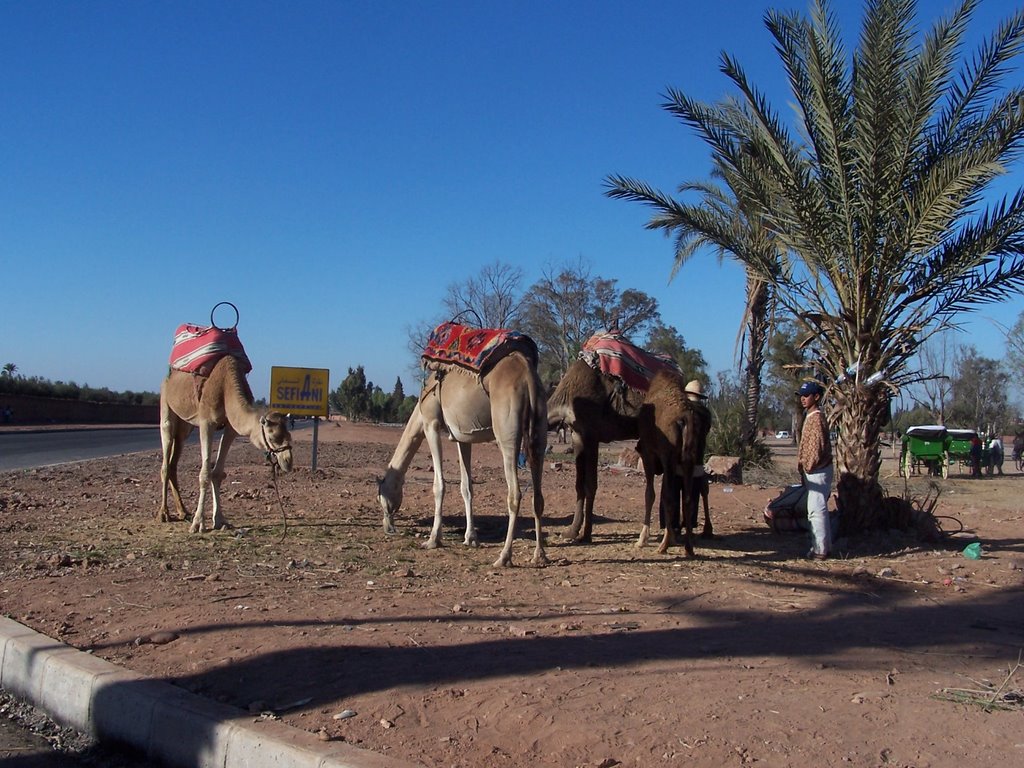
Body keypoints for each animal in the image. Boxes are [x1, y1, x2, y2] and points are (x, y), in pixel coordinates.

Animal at [156, 356, 292, 532]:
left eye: (289, 435)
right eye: (273, 437)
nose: (288, 461)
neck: (226, 388)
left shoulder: (231, 428)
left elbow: (218, 473)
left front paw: (220, 520)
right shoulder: (206, 422)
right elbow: (205, 474)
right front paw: (198, 524)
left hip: (185, 427)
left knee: (174, 458)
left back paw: (183, 511)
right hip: (166, 404)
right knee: (166, 458)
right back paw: (164, 514)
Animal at [378, 352, 552, 569]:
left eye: (381, 494)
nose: (387, 526)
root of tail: (527, 375)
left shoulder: (431, 423)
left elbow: (439, 485)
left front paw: (433, 539)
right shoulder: (463, 436)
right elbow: (467, 487)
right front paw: (471, 538)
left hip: (507, 430)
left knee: (515, 493)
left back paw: (504, 557)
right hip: (540, 429)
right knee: (538, 495)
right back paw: (540, 555)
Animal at [548, 362, 643, 548]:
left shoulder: (591, 434)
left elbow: (590, 485)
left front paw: (586, 535)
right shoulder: (577, 434)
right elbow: (579, 485)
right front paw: (571, 531)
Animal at [630, 370, 712, 557]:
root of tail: (685, 419)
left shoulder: (649, 455)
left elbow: (650, 494)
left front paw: (642, 540)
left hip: (668, 457)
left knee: (669, 497)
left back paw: (664, 545)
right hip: (688, 459)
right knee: (687, 499)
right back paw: (688, 547)